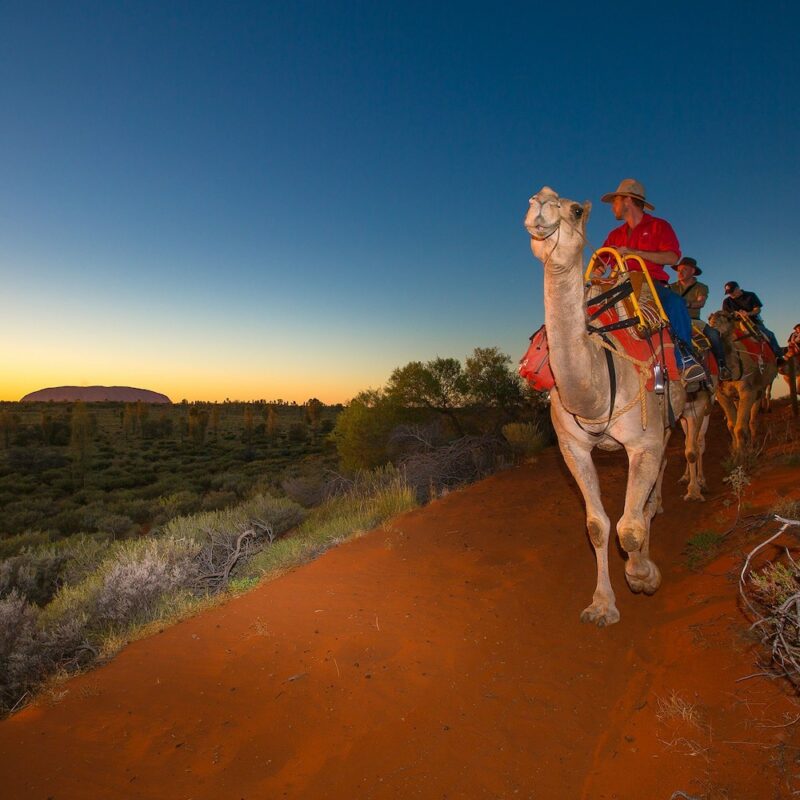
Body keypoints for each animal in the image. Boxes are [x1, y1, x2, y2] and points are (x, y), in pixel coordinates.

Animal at [524, 188, 688, 624]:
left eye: (575, 210)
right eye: (532, 198)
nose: (539, 209)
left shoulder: (643, 442)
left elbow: (628, 528)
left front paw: (643, 576)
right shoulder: (572, 447)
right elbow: (597, 525)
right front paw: (601, 605)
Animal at [708, 310, 780, 454]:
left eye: (727, 318)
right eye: (709, 320)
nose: (714, 330)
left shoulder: (748, 391)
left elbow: (740, 427)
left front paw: (742, 453)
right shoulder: (722, 395)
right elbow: (731, 425)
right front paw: (735, 450)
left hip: (759, 389)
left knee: (752, 419)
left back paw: (753, 443)